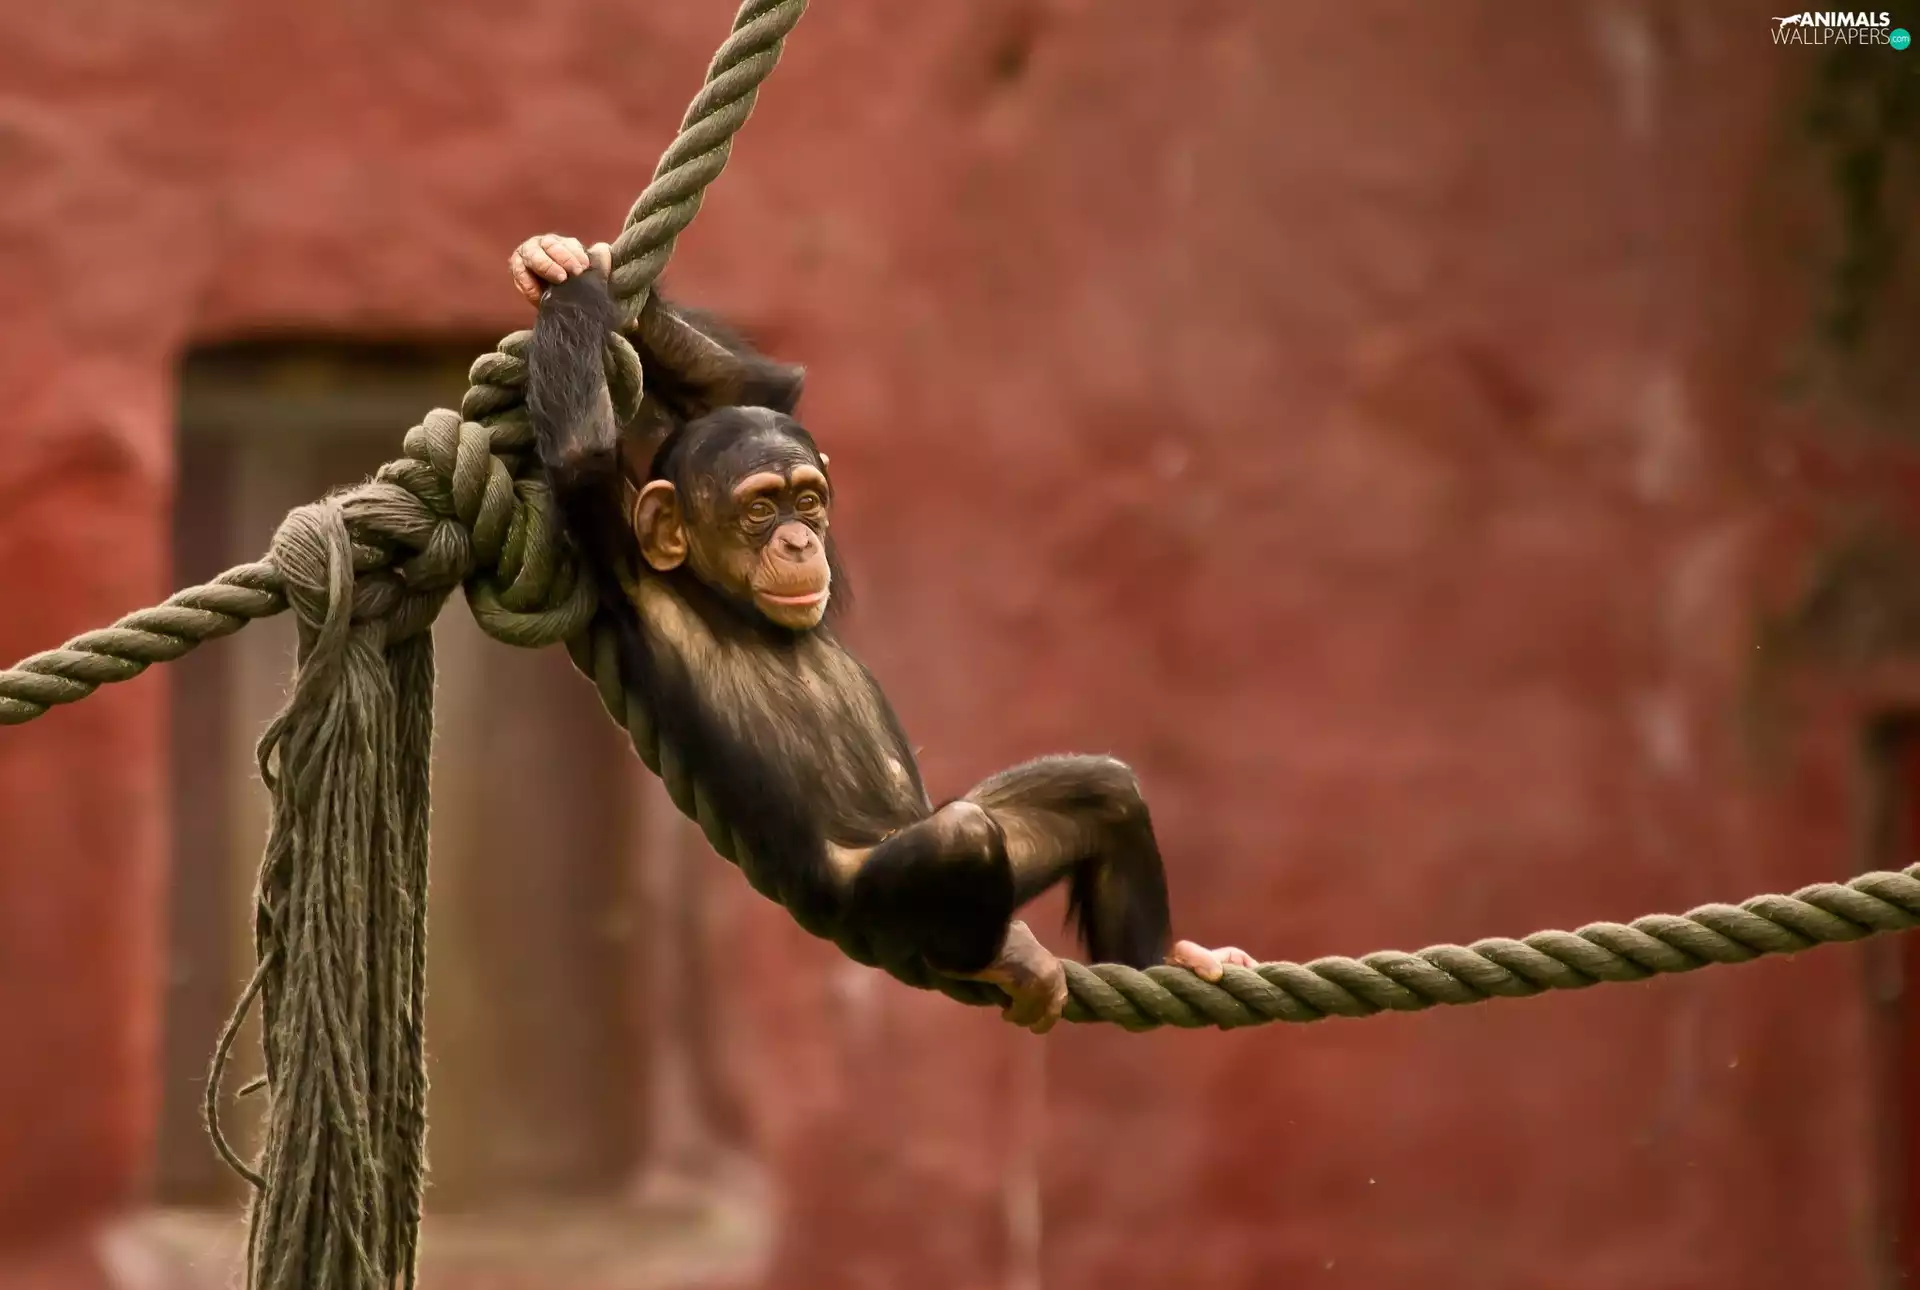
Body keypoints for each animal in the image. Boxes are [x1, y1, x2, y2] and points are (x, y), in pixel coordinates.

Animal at [510, 234, 1254, 1032]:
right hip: (874, 905)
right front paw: (564, 284)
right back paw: (1000, 956)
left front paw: (578, 272)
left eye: (807, 499)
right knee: (963, 840)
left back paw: (1171, 959)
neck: (729, 604)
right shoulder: (623, 556)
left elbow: (759, 391)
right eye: (759, 509)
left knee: (1101, 790)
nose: (798, 540)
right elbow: (582, 456)